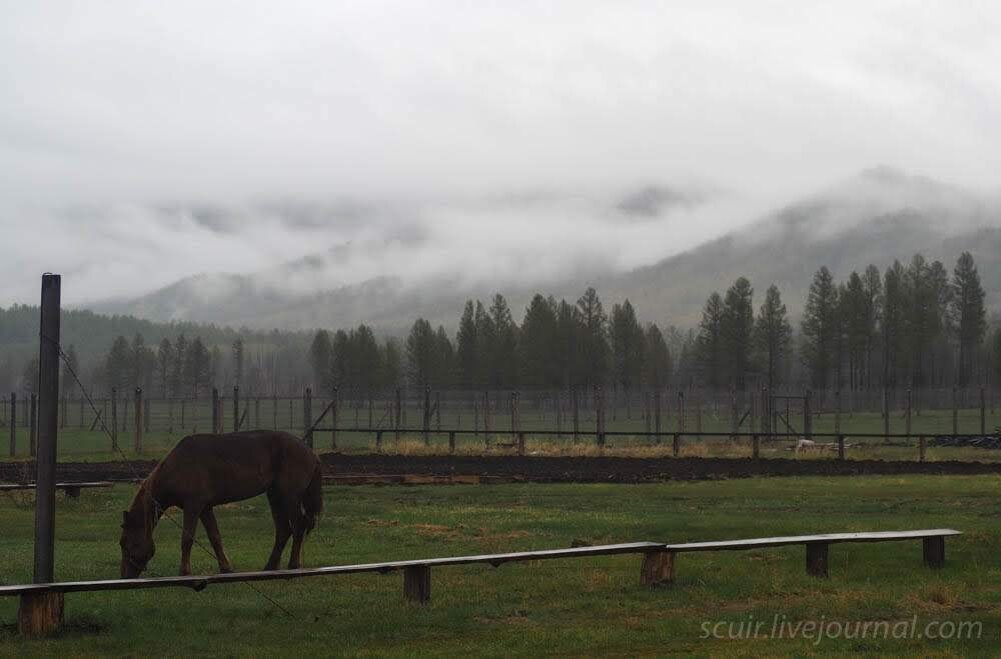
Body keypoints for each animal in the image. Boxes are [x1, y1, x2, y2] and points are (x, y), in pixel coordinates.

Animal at [119, 426, 324, 576]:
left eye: (126, 543)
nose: (124, 576)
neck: (177, 467)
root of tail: (311, 453)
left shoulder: (193, 507)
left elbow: (187, 538)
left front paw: (184, 572)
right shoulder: (205, 508)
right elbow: (215, 537)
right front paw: (225, 568)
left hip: (290, 497)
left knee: (298, 526)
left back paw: (293, 565)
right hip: (275, 497)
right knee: (283, 530)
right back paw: (270, 566)